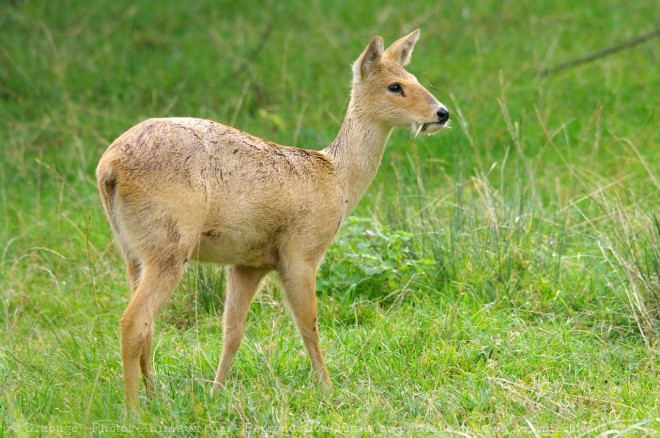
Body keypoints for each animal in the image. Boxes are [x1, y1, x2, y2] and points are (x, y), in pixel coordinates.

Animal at [96, 28, 448, 410]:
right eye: (395, 86)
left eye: (415, 78)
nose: (442, 113)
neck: (336, 179)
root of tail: (108, 168)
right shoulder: (301, 251)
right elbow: (309, 324)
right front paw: (329, 391)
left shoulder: (249, 263)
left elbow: (232, 332)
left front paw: (216, 393)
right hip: (169, 246)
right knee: (133, 321)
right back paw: (134, 410)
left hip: (133, 249)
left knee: (146, 325)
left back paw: (154, 395)